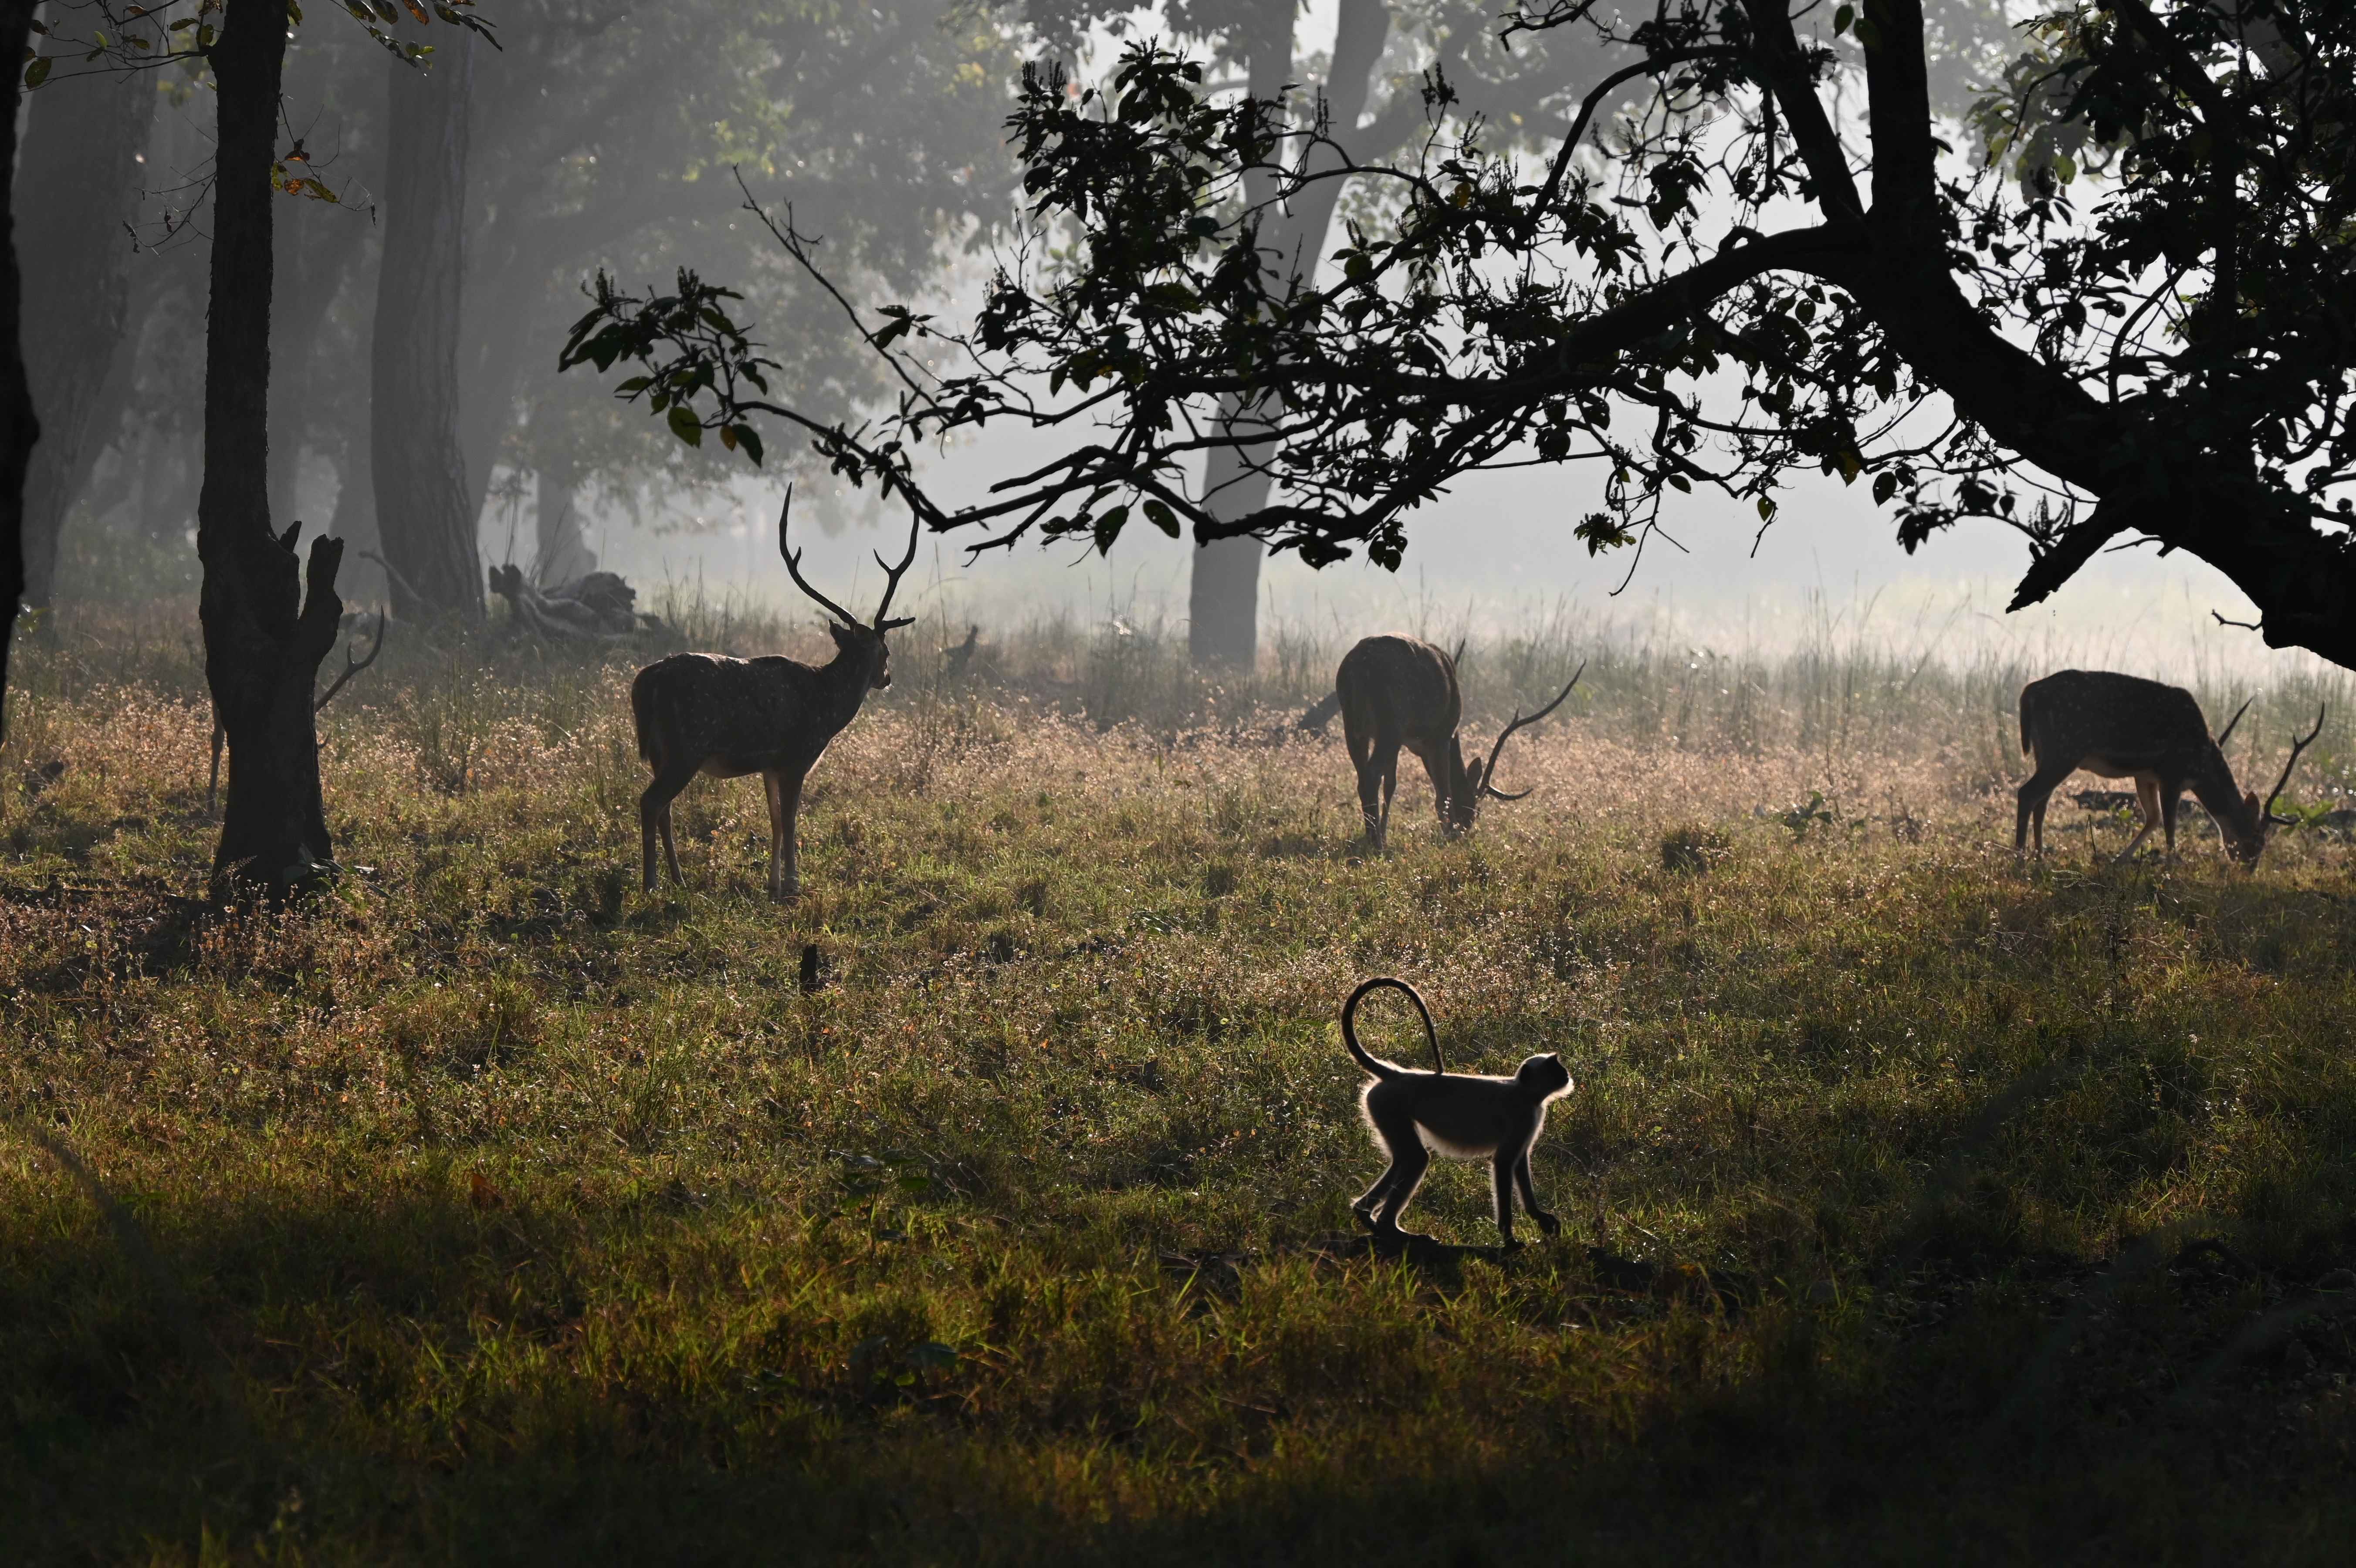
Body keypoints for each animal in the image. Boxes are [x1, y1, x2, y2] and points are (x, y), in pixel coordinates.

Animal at [631, 489, 918, 901]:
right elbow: (792, 818)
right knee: (650, 801)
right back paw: (651, 884)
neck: (829, 705)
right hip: (687, 744)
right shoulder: (797, 757)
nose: (887, 678)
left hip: (661, 751)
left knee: (665, 807)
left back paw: (679, 879)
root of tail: (645, 683)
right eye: (887, 651)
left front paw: (773, 883)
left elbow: (775, 819)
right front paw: (795, 885)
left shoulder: (770, 765)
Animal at [1311, 634, 1582, 851]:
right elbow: (1443, 794)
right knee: (1371, 774)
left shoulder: (1409, 743)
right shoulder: (1440, 736)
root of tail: (1358, 669)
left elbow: (1392, 784)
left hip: (1354, 727)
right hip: (1391, 725)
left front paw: (1387, 833)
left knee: (1363, 776)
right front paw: (1446, 834)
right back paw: (1375, 842)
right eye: (1474, 807)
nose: (1465, 831)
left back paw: (1373, 836)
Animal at [2015, 668, 2324, 866]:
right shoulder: (2172, 775)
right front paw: (2170, 868)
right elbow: (2170, 825)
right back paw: (2020, 860)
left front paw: (2119, 861)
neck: (2202, 763)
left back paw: (2040, 858)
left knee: (2042, 800)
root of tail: (2027, 693)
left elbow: (2153, 818)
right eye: (2258, 839)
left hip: (2047, 752)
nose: (2251, 866)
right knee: (2027, 793)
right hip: (2065, 748)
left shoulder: (2146, 776)